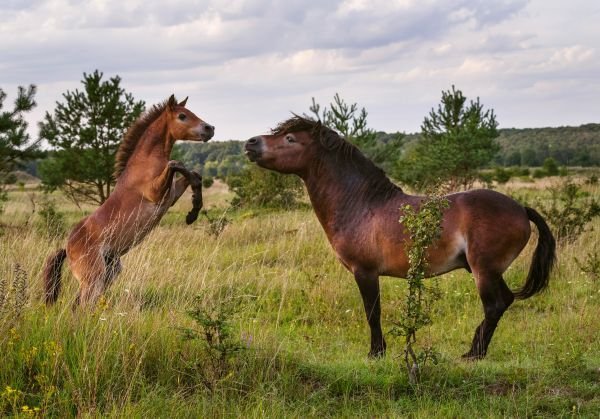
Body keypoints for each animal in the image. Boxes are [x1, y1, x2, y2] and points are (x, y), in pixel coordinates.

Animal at [41, 96, 213, 308]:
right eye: (182, 116)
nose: (210, 129)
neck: (145, 163)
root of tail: (67, 247)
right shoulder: (156, 193)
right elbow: (176, 164)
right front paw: (193, 211)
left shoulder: (170, 196)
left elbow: (193, 175)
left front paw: (193, 213)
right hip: (94, 276)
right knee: (82, 305)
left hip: (110, 272)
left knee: (78, 304)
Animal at [245, 116, 556, 360]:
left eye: (289, 138)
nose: (250, 143)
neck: (361, 205)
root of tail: (520, 208)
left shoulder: (365, 272)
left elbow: (372, 313)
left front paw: (376, 353)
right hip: (489, 271)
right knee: (504, 302)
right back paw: (475, 350)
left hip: (484, 271)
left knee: (494, 306)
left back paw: (474, 354)